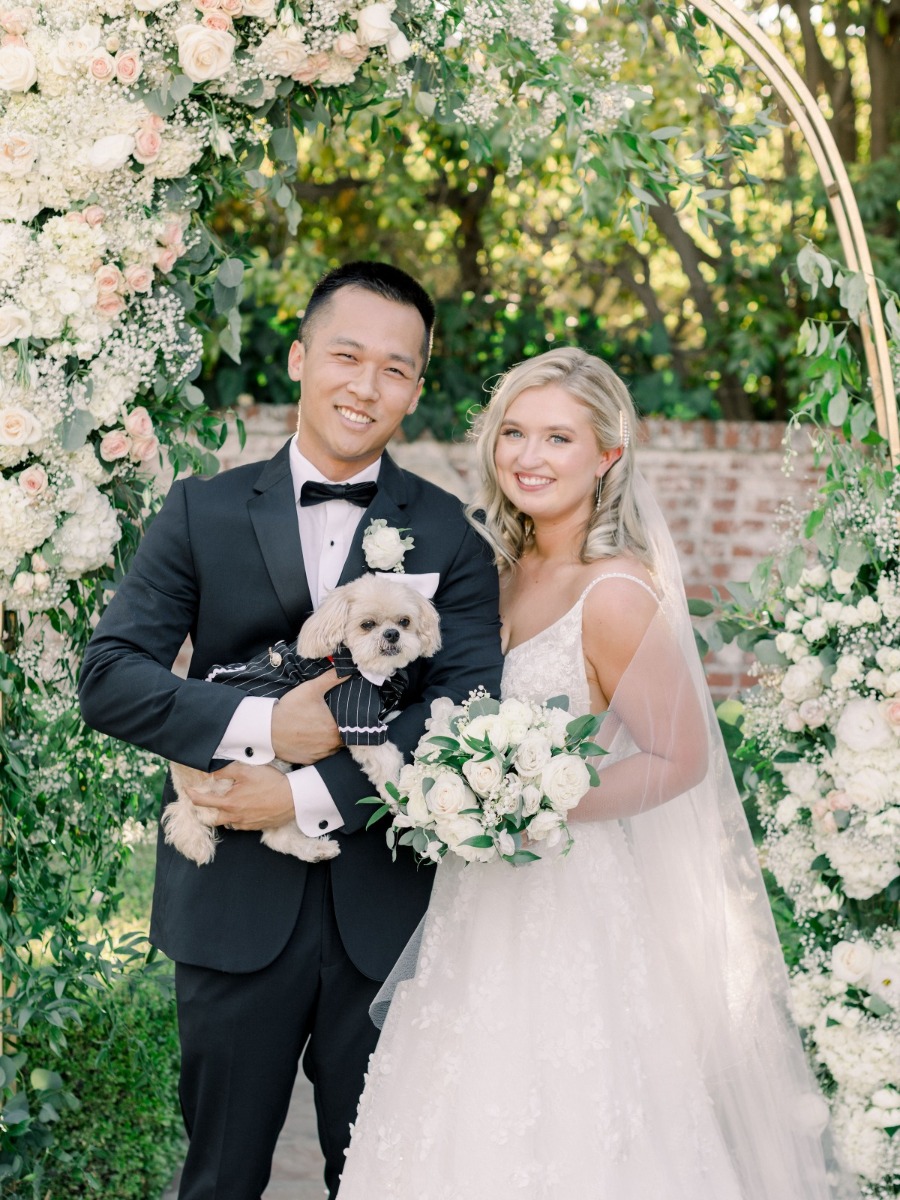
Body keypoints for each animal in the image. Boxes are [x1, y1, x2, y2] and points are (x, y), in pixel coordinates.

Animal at [165, 576, 444, 868]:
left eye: (404, 621)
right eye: (367, 624)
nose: (392, 634)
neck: (353, 663)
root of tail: (184, 790)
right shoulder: (352, 712)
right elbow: (386, 759)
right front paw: (397, 795)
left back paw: (316, 851)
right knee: (274, 834)